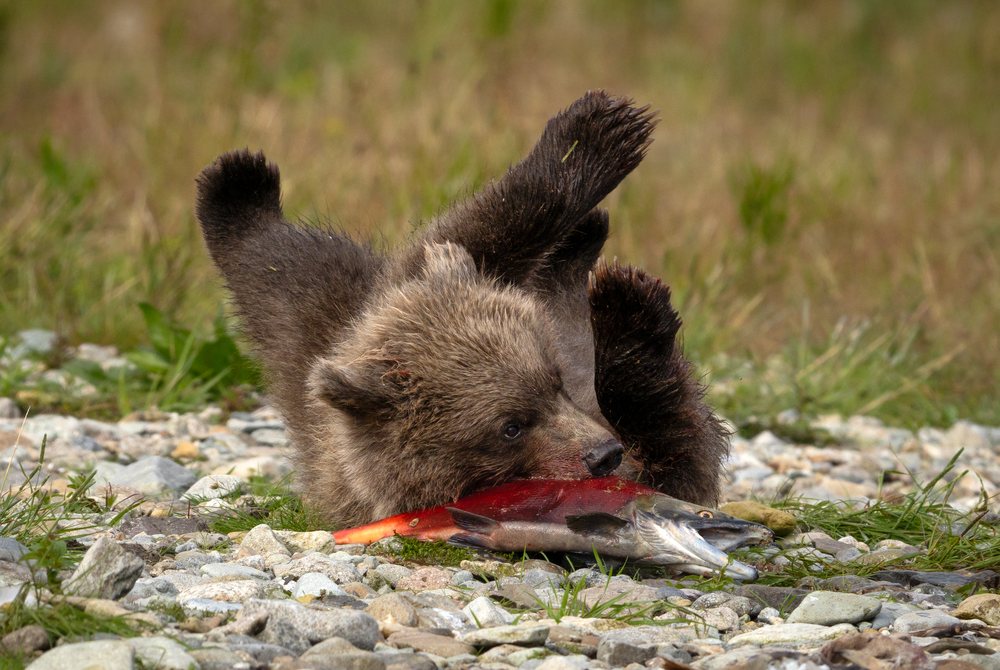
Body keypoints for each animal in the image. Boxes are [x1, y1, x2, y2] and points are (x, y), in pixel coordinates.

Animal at [195, 91, 728, 526]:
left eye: (553, 380)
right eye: (510, 427)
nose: (602, 454)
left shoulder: (398, 289)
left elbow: (473, 232)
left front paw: (594, 138)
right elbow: (678, 439)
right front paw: (629, 307)